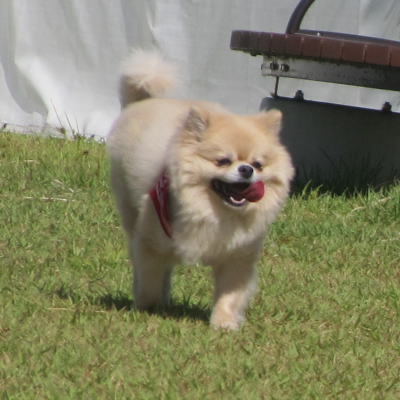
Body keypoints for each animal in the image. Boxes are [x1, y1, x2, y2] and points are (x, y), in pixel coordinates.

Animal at [107, 49, 294, 329]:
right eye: (223, 161)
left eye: (258, 165)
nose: (246, 170)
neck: (215, 212)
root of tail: (143, 103)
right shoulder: (150, 243)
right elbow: (149, 279)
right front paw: (145, 309)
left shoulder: (237, 257)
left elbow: (230, 294)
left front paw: (224, 323)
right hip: (131, 215)